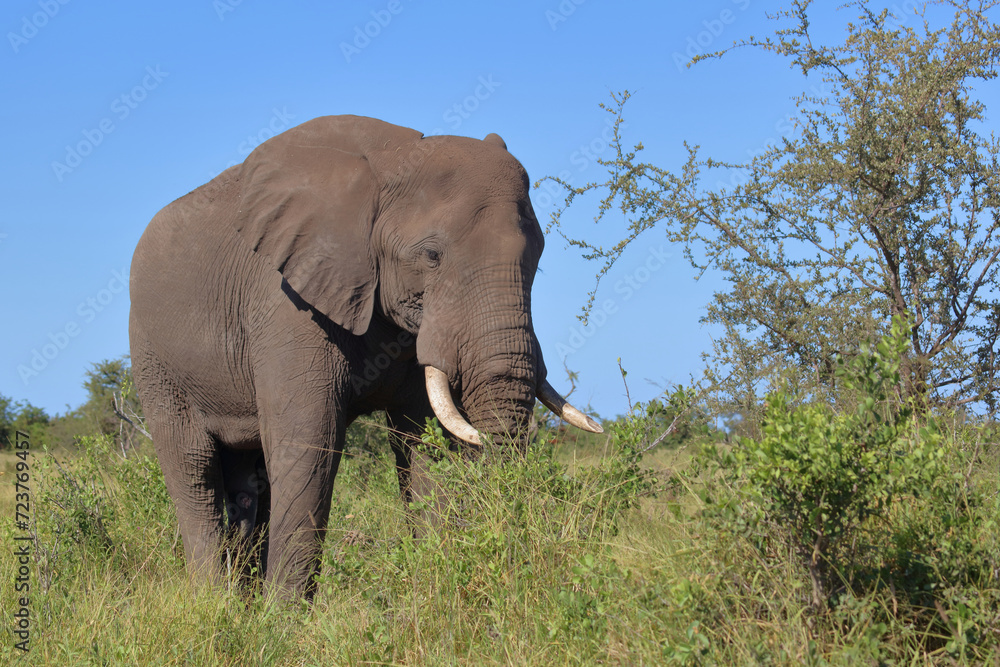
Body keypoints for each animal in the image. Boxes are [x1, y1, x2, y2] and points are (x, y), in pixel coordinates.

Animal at [128, 115, 602, 599]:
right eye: (431, 256)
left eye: (537, 256)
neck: (394, 162)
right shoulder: (285, 302)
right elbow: (309, 445)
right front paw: (283, 616)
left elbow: (424, 445)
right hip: (153, 358)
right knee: (193, 469)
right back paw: (214, 602)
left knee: (248, 478)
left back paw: (240, 602)